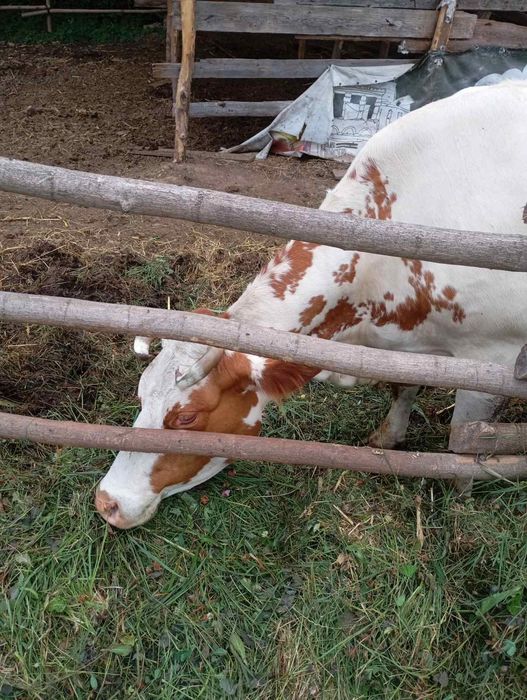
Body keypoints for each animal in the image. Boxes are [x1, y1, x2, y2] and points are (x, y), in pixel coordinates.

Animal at [96, 81, 527, 529]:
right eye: (141, 396)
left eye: (187, 417)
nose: (107, 501)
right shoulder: (408, 346)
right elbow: (404, 388)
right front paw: (387, 437)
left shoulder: (492, 356)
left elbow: (465, 442)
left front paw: (462, 502)